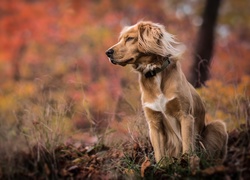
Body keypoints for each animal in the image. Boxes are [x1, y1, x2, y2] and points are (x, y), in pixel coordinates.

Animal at [105, 21, 229, 163]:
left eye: (130, 38)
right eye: (120, 39)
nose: (107, 52)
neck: (154, 72)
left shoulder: (185, 116)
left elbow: (187, 146)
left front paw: (187, 163)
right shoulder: (154, 122)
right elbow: (159, 153)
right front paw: (161, 166)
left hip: (218, 125)